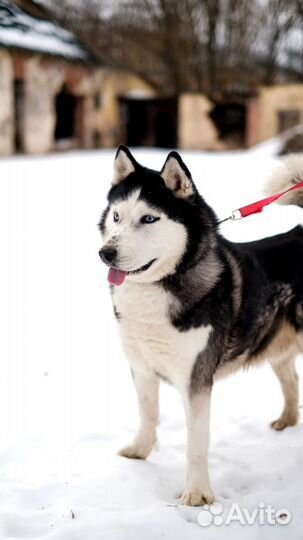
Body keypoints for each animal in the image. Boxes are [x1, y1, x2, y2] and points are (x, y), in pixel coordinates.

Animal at [98, 147, 302, 506]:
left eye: (149, 219)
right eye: (117, 217)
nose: (105, 253)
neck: (160, 286)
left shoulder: (196, 380)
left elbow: (196, 443)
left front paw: (197, 494)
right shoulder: (141, 366)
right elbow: (148, 414)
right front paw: (140, 451)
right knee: (291, 380)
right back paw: (286, 422)